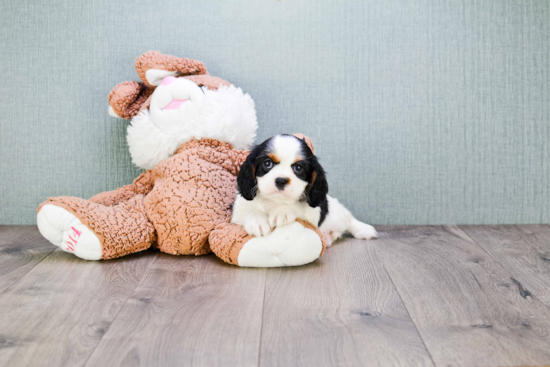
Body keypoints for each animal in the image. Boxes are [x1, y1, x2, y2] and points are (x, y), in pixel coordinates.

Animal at [230, 134, 380, 246]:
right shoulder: (238, 210)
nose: (281, 180)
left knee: (348, 219)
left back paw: (363, 229)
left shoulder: (312, 213)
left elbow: (297, 207)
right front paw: (258, 222)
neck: (275, 201)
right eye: (267, 163)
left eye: (298, 168)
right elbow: (248, 210)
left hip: (337, 215)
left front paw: (282, 211)